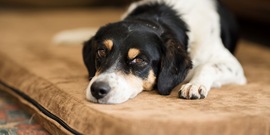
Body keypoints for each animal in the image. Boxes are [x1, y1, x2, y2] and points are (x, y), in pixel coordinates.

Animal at [57, 0, 247, 104]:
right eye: (101, 52)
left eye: (139, 60)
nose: (97, 90)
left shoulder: (233, 66)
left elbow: (207, 66)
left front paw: (195, 85)